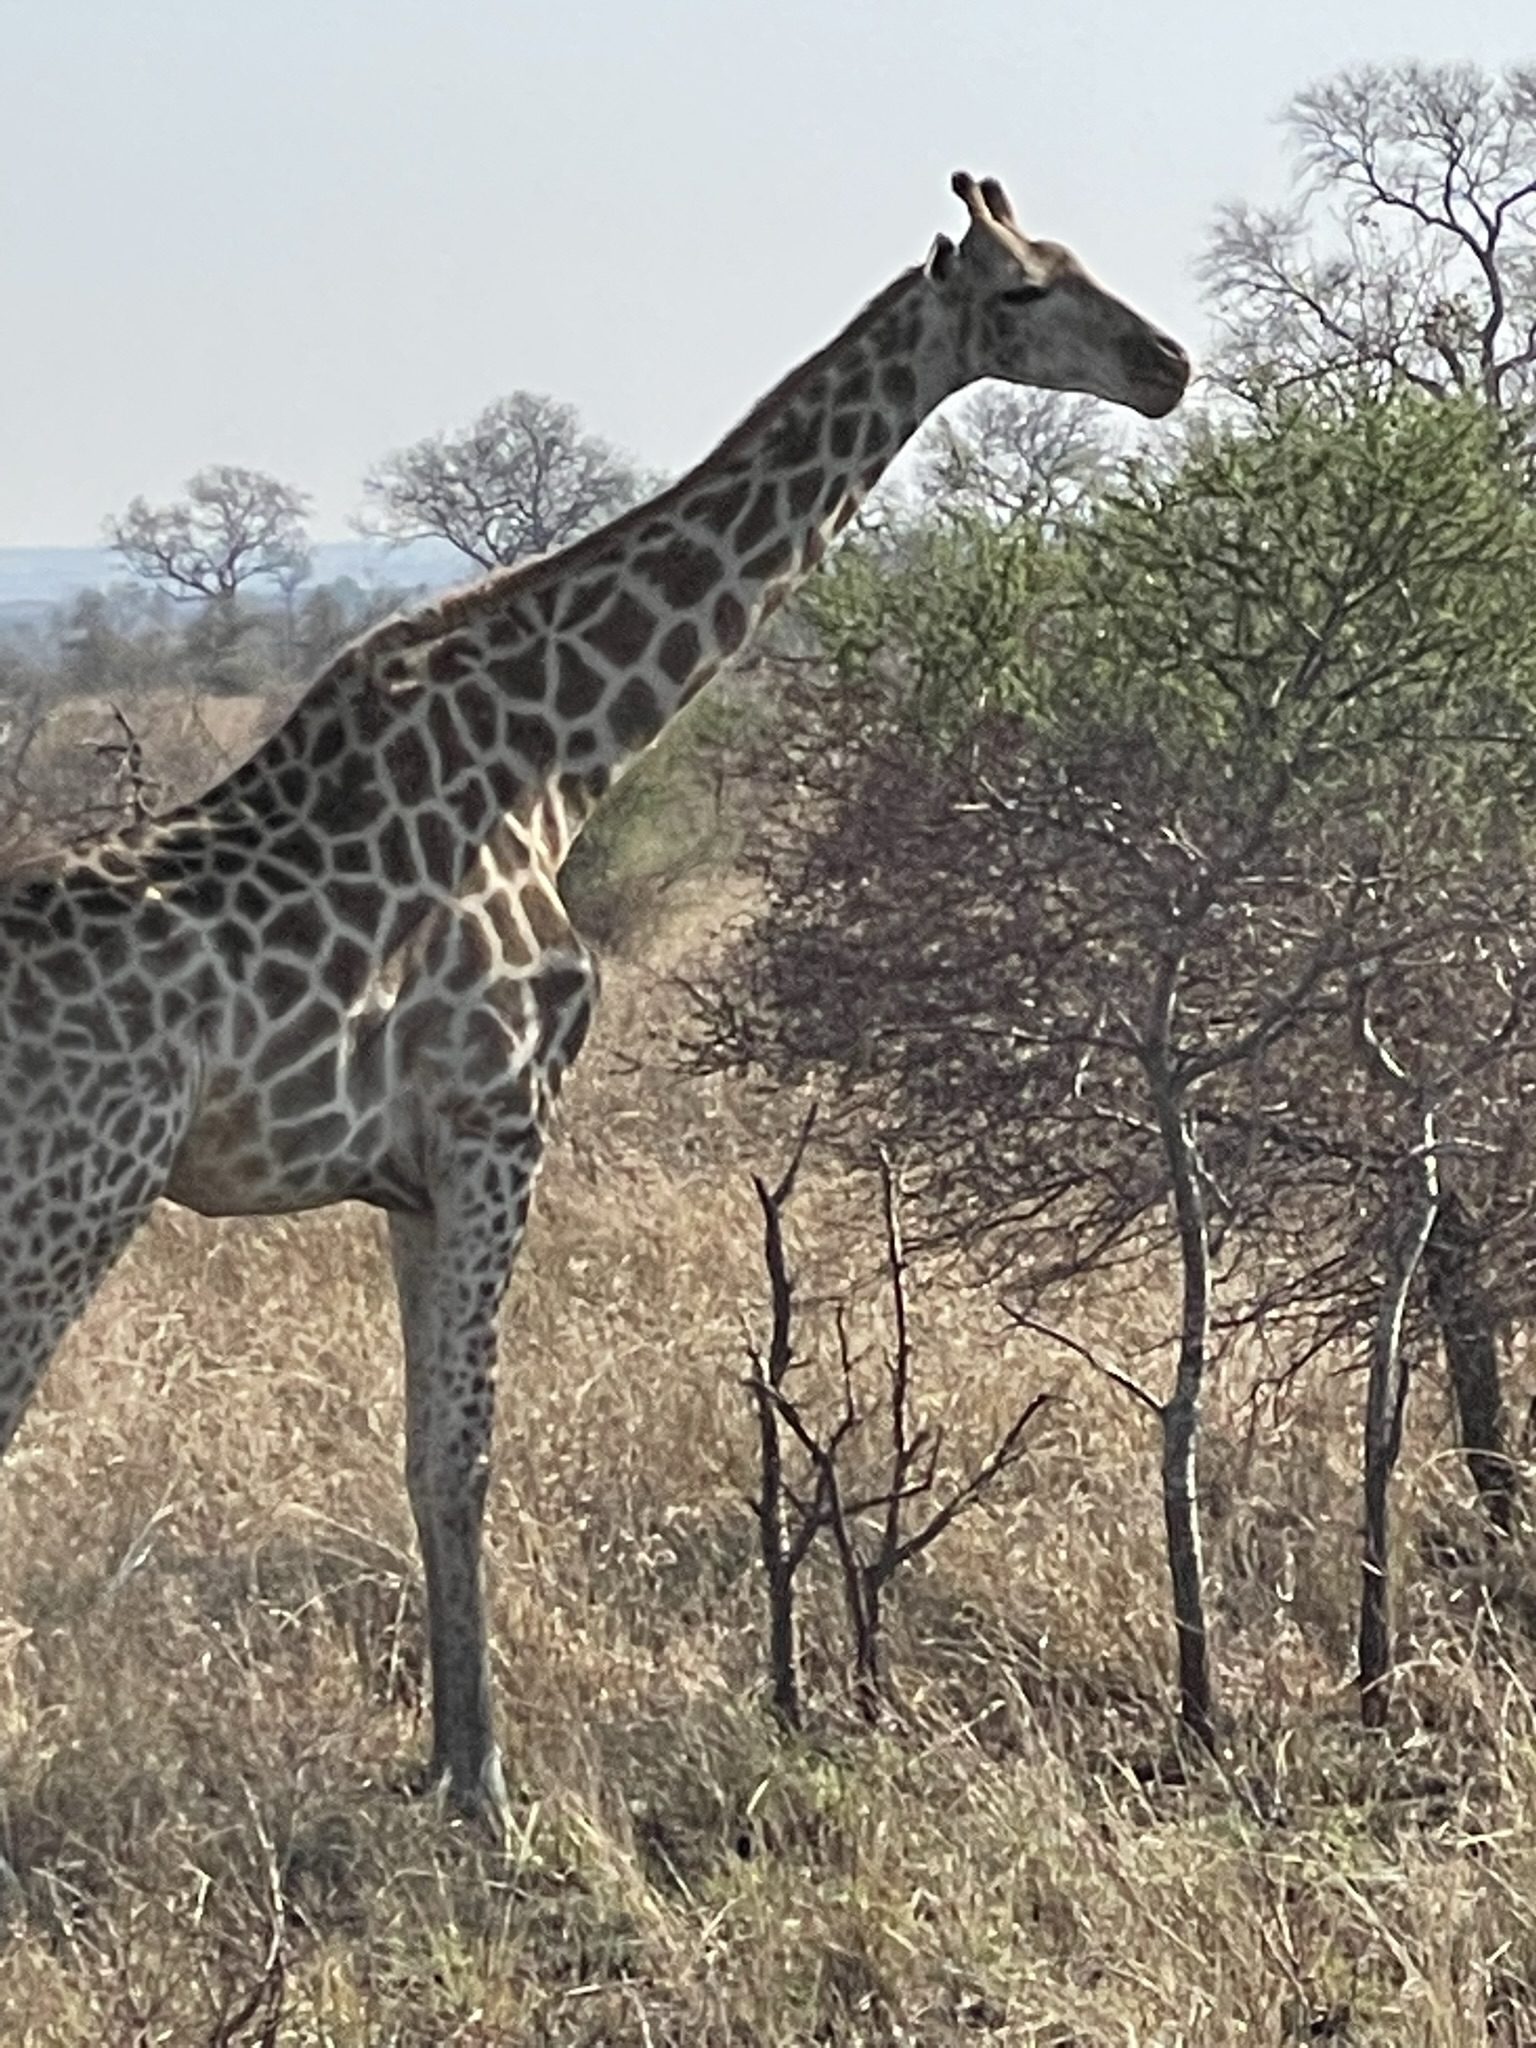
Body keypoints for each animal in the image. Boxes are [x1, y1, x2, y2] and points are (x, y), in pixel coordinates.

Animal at [0, 176, 1187, 1835]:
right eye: (1020, 294)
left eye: (1081, 263)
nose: (1169, 367)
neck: (558, 755)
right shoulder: (505, 1121)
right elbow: (470, 1457)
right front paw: (489, 1792)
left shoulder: (414, 1174)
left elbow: (424, 1451)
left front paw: (442, 1761)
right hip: (71, 1199)